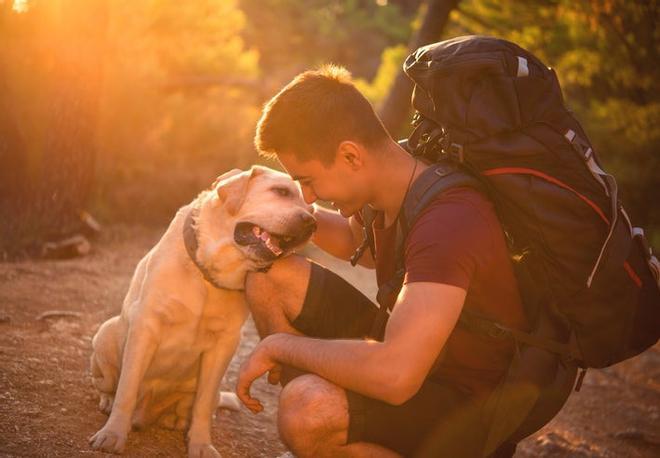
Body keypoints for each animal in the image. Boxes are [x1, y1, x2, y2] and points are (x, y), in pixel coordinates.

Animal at [89, 166, 316, 458]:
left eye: (311, 207)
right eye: (281, 191)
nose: (312, 224)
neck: (208, 271)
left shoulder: (225, 343)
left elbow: (204, 404)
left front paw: (200, 444)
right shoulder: (146, 324)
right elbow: (127, 388)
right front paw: (113, 434)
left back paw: (176, 421)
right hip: (106, 333)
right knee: (107, 384)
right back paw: (109, 403)